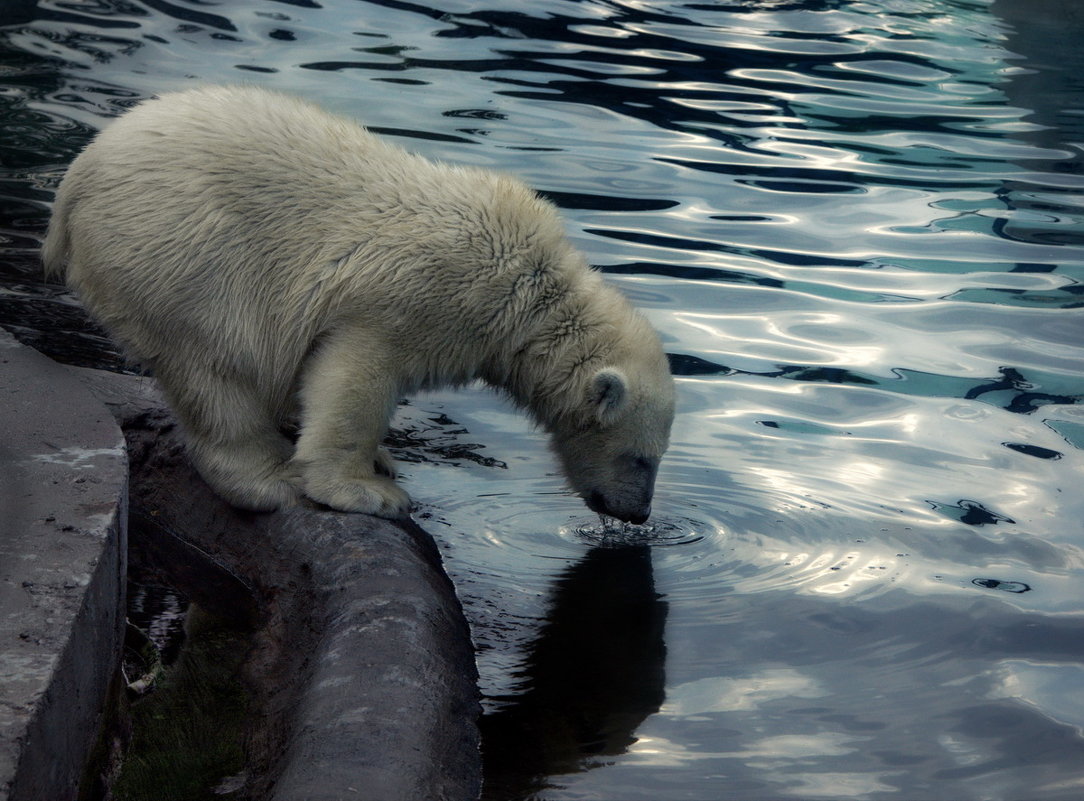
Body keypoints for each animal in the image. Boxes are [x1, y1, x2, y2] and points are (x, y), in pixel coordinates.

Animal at [46, 84, 672, 522]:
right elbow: (354, 379)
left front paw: (381, 460)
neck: (529, 295)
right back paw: (267, 478)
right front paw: (369, 492)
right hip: (182, 253)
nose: (638, 514)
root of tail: (75, 181)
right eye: (642, 459)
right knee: (217, 371)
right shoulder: (410, 301)